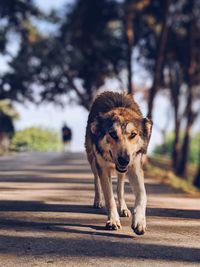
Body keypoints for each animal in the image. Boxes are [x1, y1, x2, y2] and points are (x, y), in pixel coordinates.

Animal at [84, 92, 152, 237]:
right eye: (112, 134)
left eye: (133, 134)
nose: (124, 160)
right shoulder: (103, 168)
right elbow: (109, 197)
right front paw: (113, 220)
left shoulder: (135, 166)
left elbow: (142, 194)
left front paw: (139, 221)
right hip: (92, 160)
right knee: (96, 180)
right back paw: (98, 201)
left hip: (124, 171)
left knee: (120, 187)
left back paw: (124, 208)